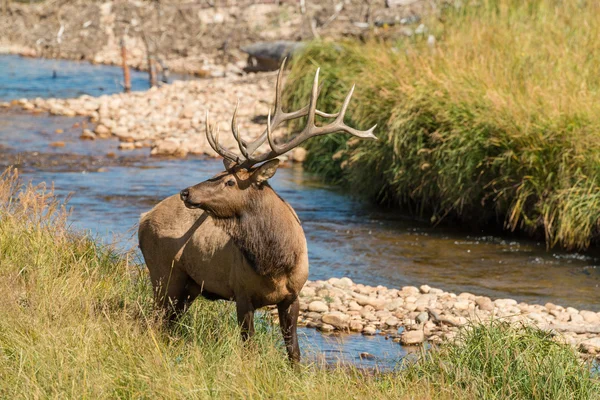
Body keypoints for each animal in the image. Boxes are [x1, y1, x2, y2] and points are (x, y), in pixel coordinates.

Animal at [138, 61, 378, 362]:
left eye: (229, 181)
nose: (186, 192)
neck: (276, 263)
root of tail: (143, 218)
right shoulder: (242, 294)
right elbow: (249, 348)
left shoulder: (293, 296)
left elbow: (294, 352)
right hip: (163, 274)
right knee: (154, 320)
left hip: (189, 285)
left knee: (169, 322)